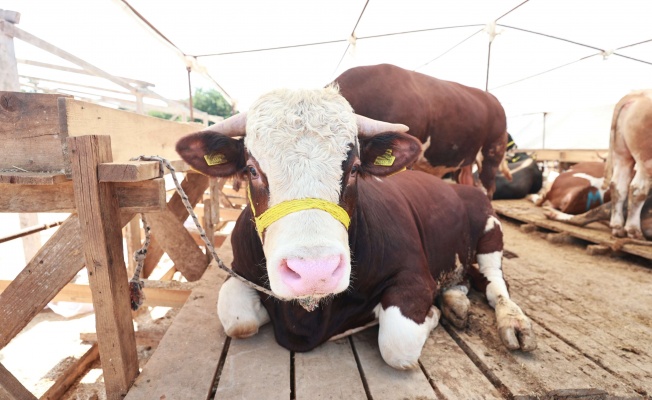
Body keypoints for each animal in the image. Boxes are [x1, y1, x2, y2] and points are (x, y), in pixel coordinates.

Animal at [174, 86, 536, 370]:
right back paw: (455, 300)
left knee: (495, 282)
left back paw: (513, 322)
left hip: (490, 229)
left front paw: (432, 313)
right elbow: (239, 321)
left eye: (355, 168)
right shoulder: (238, 270)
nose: (315, 271)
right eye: (251, 169)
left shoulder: (414, 275)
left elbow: (397, 344)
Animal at [600, 89, 652, 239]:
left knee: (618, 185)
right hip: (646, 158)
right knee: (638, 188)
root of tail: (638, 94)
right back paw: (633, 230)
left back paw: (617, 227)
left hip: (622, 154)